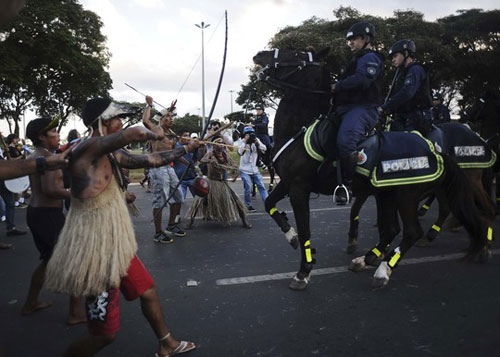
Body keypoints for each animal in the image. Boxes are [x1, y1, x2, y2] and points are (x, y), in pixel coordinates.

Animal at [254, 48, 492, 290]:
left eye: (294, 54)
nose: (259, 55)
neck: (299, 131)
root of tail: (436, 150)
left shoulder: (299, 188)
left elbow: (306, 230)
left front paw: (303, 272)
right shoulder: (288, 183)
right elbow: (269, 204)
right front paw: (291, 236)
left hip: (408, 195)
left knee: (414, 230)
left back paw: (384, 269)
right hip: (390, 194)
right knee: (396, 228)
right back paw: (367, 258)